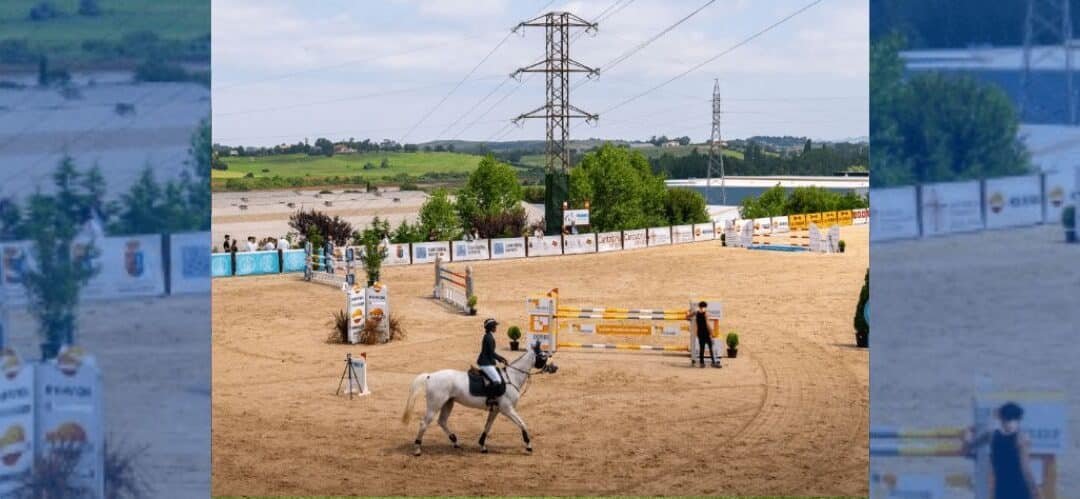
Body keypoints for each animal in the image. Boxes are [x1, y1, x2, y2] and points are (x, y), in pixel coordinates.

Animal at [402, 339, 557, 456]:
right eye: (543, 356)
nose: (555, 368)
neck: (512, 377)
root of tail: (430, 376)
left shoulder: (496, 410)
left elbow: (487, 427)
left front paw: (482, 446)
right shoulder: (507, 409)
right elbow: (522, 424)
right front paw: (529, 446)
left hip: (448, 403)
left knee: (442, 421)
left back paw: (455, 441)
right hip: (435, 405)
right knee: (424, 423)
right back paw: (417, 449)